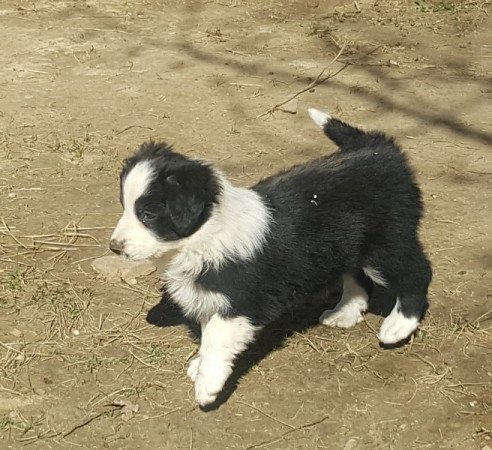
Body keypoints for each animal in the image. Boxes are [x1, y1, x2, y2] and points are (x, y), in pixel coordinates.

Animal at [110, 109, 430, 408]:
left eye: (148, 214)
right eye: (125, 207)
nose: (114, 247)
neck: (204, 235)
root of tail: (379, 148)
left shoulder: (242, 300)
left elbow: (214, 336)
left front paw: (207, 384)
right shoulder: (210, 296)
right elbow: (205, 331)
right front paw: (200, 367)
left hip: (385, 246)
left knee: (417, 272)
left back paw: (398, 325)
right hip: (349, 244)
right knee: (356, 277)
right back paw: (345, 313)